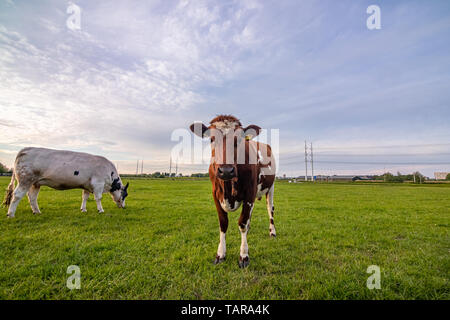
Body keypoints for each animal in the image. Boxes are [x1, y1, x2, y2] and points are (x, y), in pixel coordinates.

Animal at [189, 115, 276, 268]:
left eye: (239, 139)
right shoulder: (215, 195)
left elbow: (242, 223)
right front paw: (220, 254)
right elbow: (223, 223)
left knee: (269, 209)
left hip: (270, 187)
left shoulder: (250, 193)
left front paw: (244, 255)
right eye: (211, 139)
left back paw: (272, 232)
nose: (226, 170)